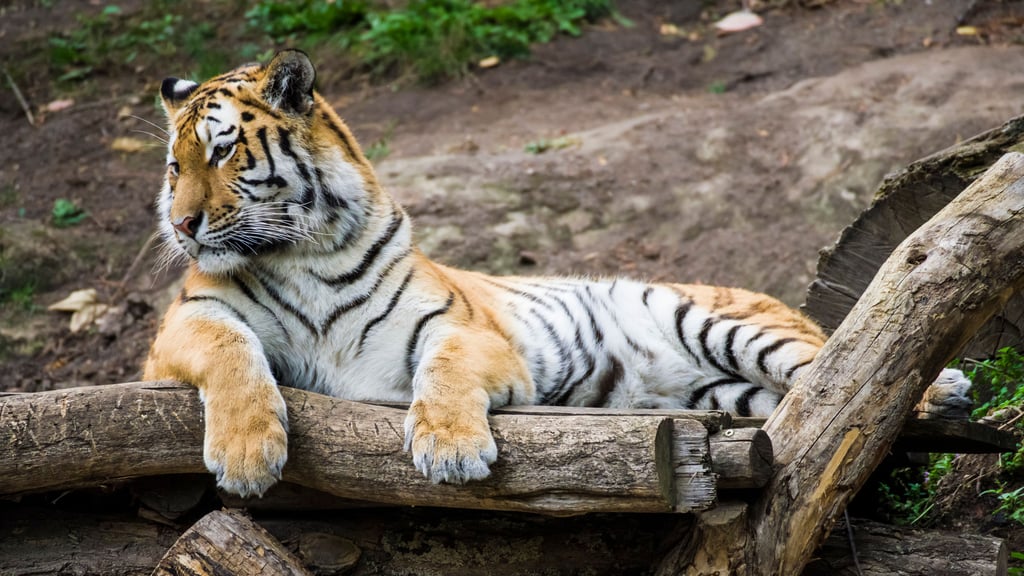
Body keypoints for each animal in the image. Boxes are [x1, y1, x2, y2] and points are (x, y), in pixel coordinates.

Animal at [143, 50, 973, 498]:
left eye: (222, 152)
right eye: (173, 166)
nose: (182, 225)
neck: (303, 252)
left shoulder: (462, 330)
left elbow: (445, 366)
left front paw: (451, 448)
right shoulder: (181, 328)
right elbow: (228, 347)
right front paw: (247, 455)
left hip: (725, 324)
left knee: (842, 366)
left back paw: (945, 389)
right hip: (728, 393)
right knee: (808, 394)